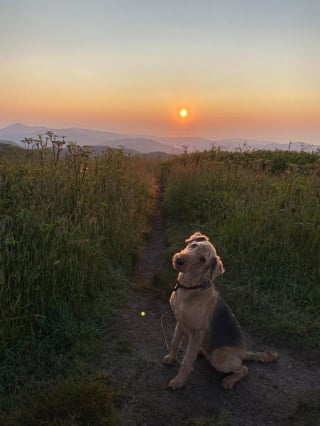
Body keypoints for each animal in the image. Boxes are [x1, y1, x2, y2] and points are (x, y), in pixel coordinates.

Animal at [162, 233, 278, 390]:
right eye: (193, 245)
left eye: (203, 259)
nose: (179, 260)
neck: (190, 288)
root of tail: (243, 352)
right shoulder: (180, 321)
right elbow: (175, 342)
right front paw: (170, 358)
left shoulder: (197, 333)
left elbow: (187, 361)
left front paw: (178, 382)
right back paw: (201, 352)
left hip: (220, 358)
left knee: (244, 369)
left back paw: (229, 381)